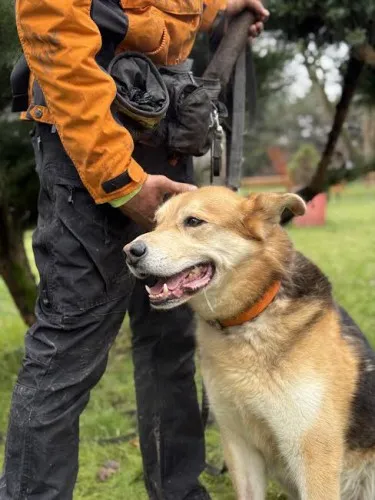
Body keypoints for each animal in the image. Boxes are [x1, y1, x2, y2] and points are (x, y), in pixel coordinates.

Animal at [125, 188, 375, 500]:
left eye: (193, 221)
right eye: (155, 223)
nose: (130, 252)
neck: (249, 317)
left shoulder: (314, 453)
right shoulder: (238, 444)